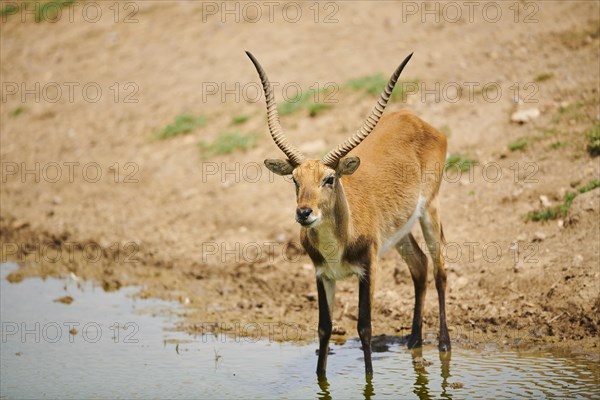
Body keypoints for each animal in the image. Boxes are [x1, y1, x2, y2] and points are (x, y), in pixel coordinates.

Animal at [247, 50, 450, 378]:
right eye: (295, 179)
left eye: (329, 179)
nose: (304, 213)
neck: (339, 240)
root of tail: (415, 119)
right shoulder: (322, 274)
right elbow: (324, 328)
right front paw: (320, 378)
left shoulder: (368, 269)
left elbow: (364, 327)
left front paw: (369, 378)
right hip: (400, 231)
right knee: (419, 265)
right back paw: (414, 340)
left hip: (430, 209)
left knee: (439, 268)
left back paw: (444, 344)